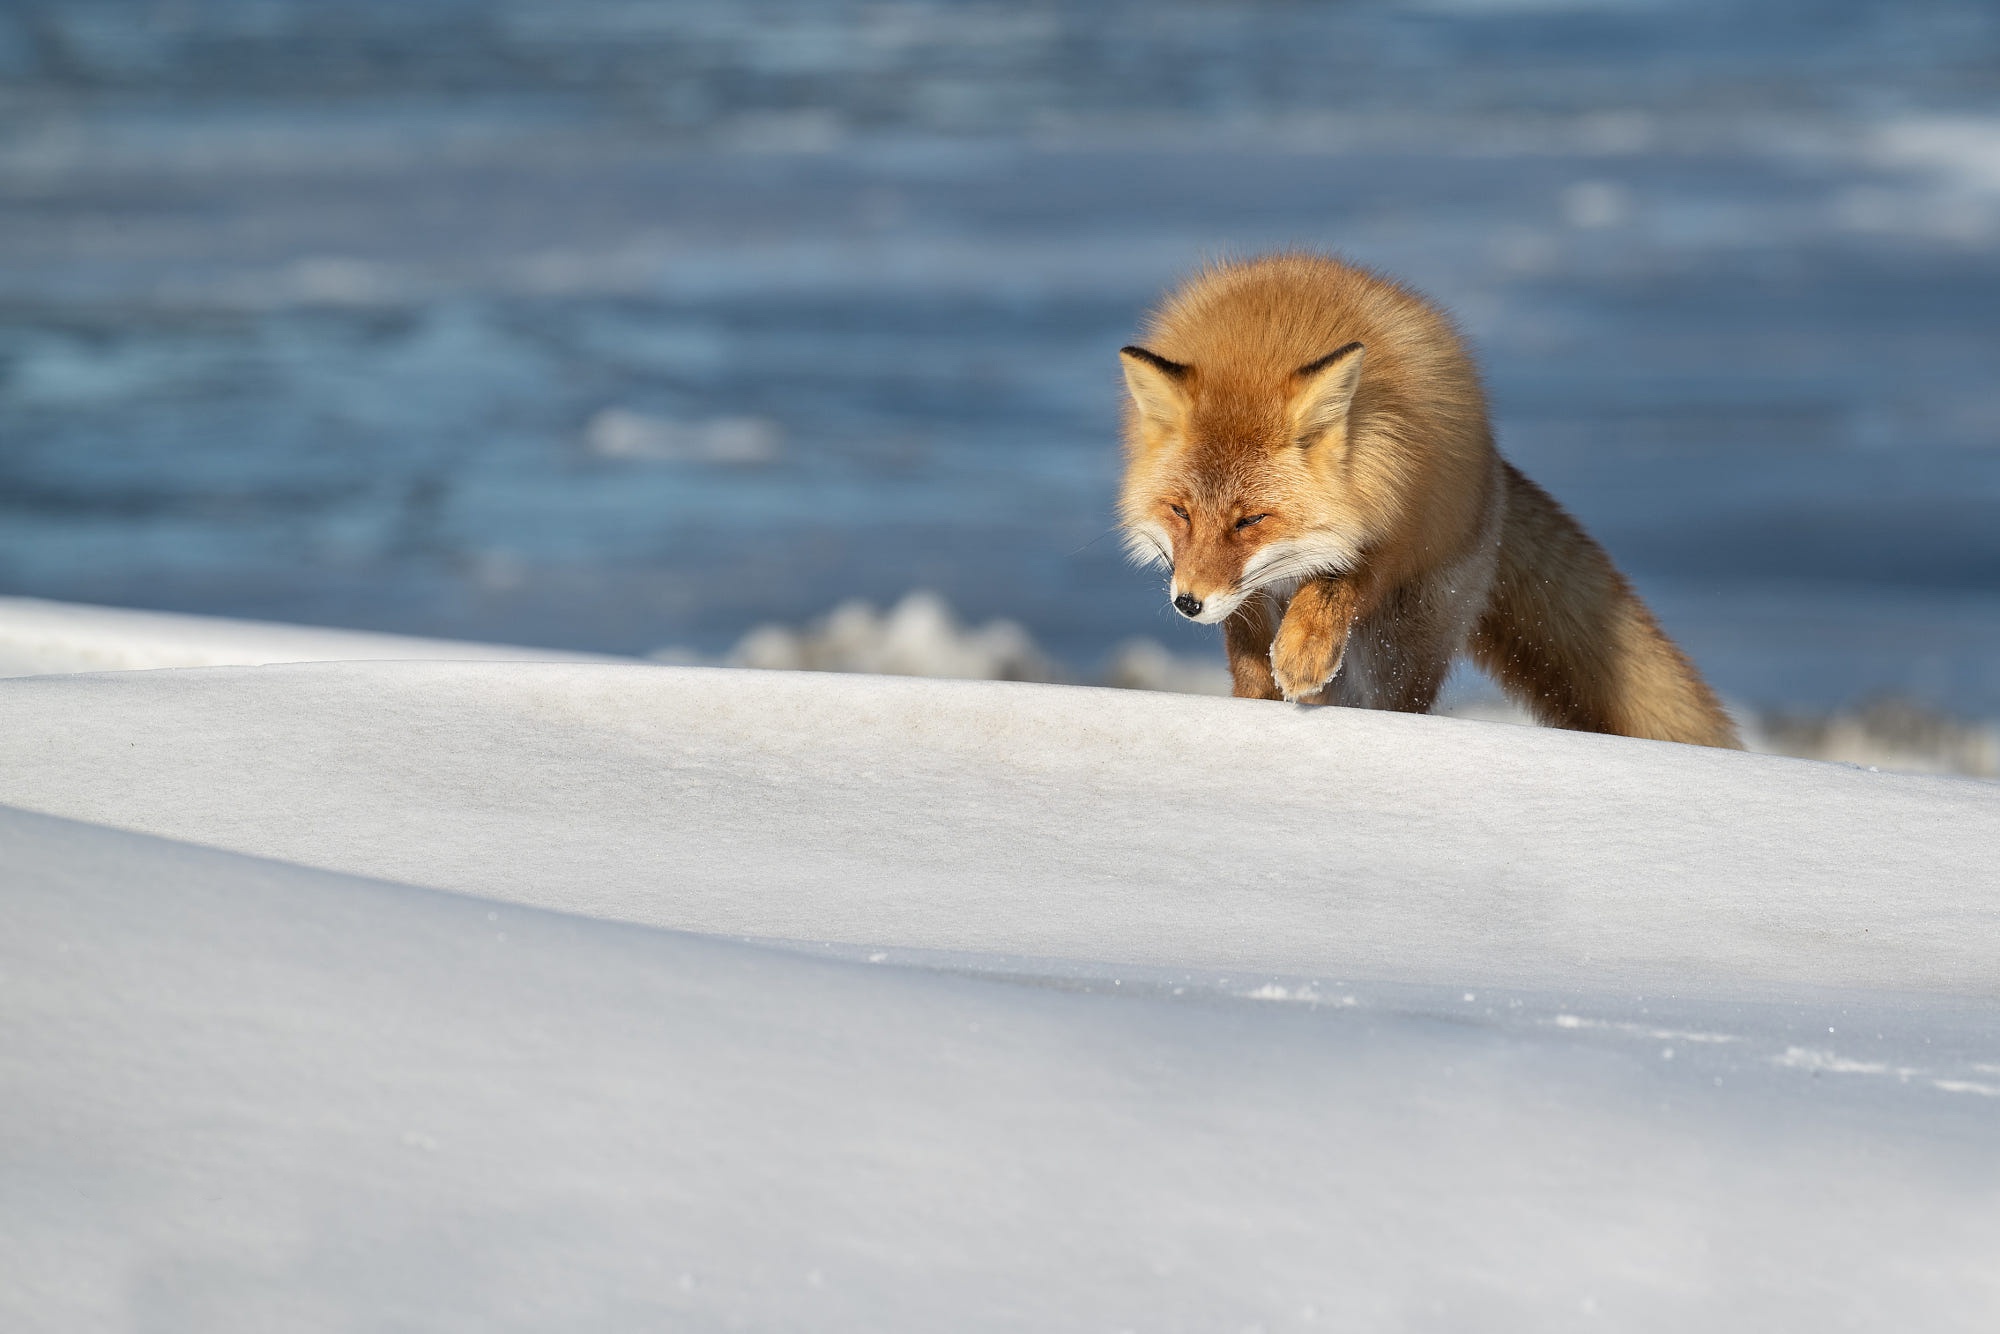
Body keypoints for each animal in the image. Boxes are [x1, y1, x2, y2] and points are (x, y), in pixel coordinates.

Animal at [1120, 253, 1744, 752]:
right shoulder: (1247, 594)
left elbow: (1335, 585)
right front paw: (1260, 699)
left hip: (1407, 639)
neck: (1267, 336)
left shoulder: (1391, 522)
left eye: (1251, 519)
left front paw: (1300, 652)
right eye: (1180, 512)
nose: (1187, 604)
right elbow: (1250, 649)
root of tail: (1492, 467)